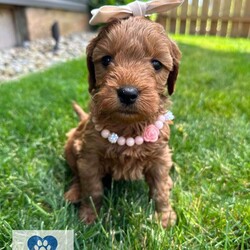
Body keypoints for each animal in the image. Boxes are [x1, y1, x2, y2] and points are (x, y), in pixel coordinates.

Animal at [64, 15, 181, 227]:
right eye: (106, 59)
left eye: (157, 64)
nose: (128, 93)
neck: (128, 128)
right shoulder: (90, 157)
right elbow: (92, 189)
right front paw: (89, 217)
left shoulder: (160, 156)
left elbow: (159, 190)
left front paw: (164, 217)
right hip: (70, 147)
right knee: (77, 174)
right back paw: (74, 192)